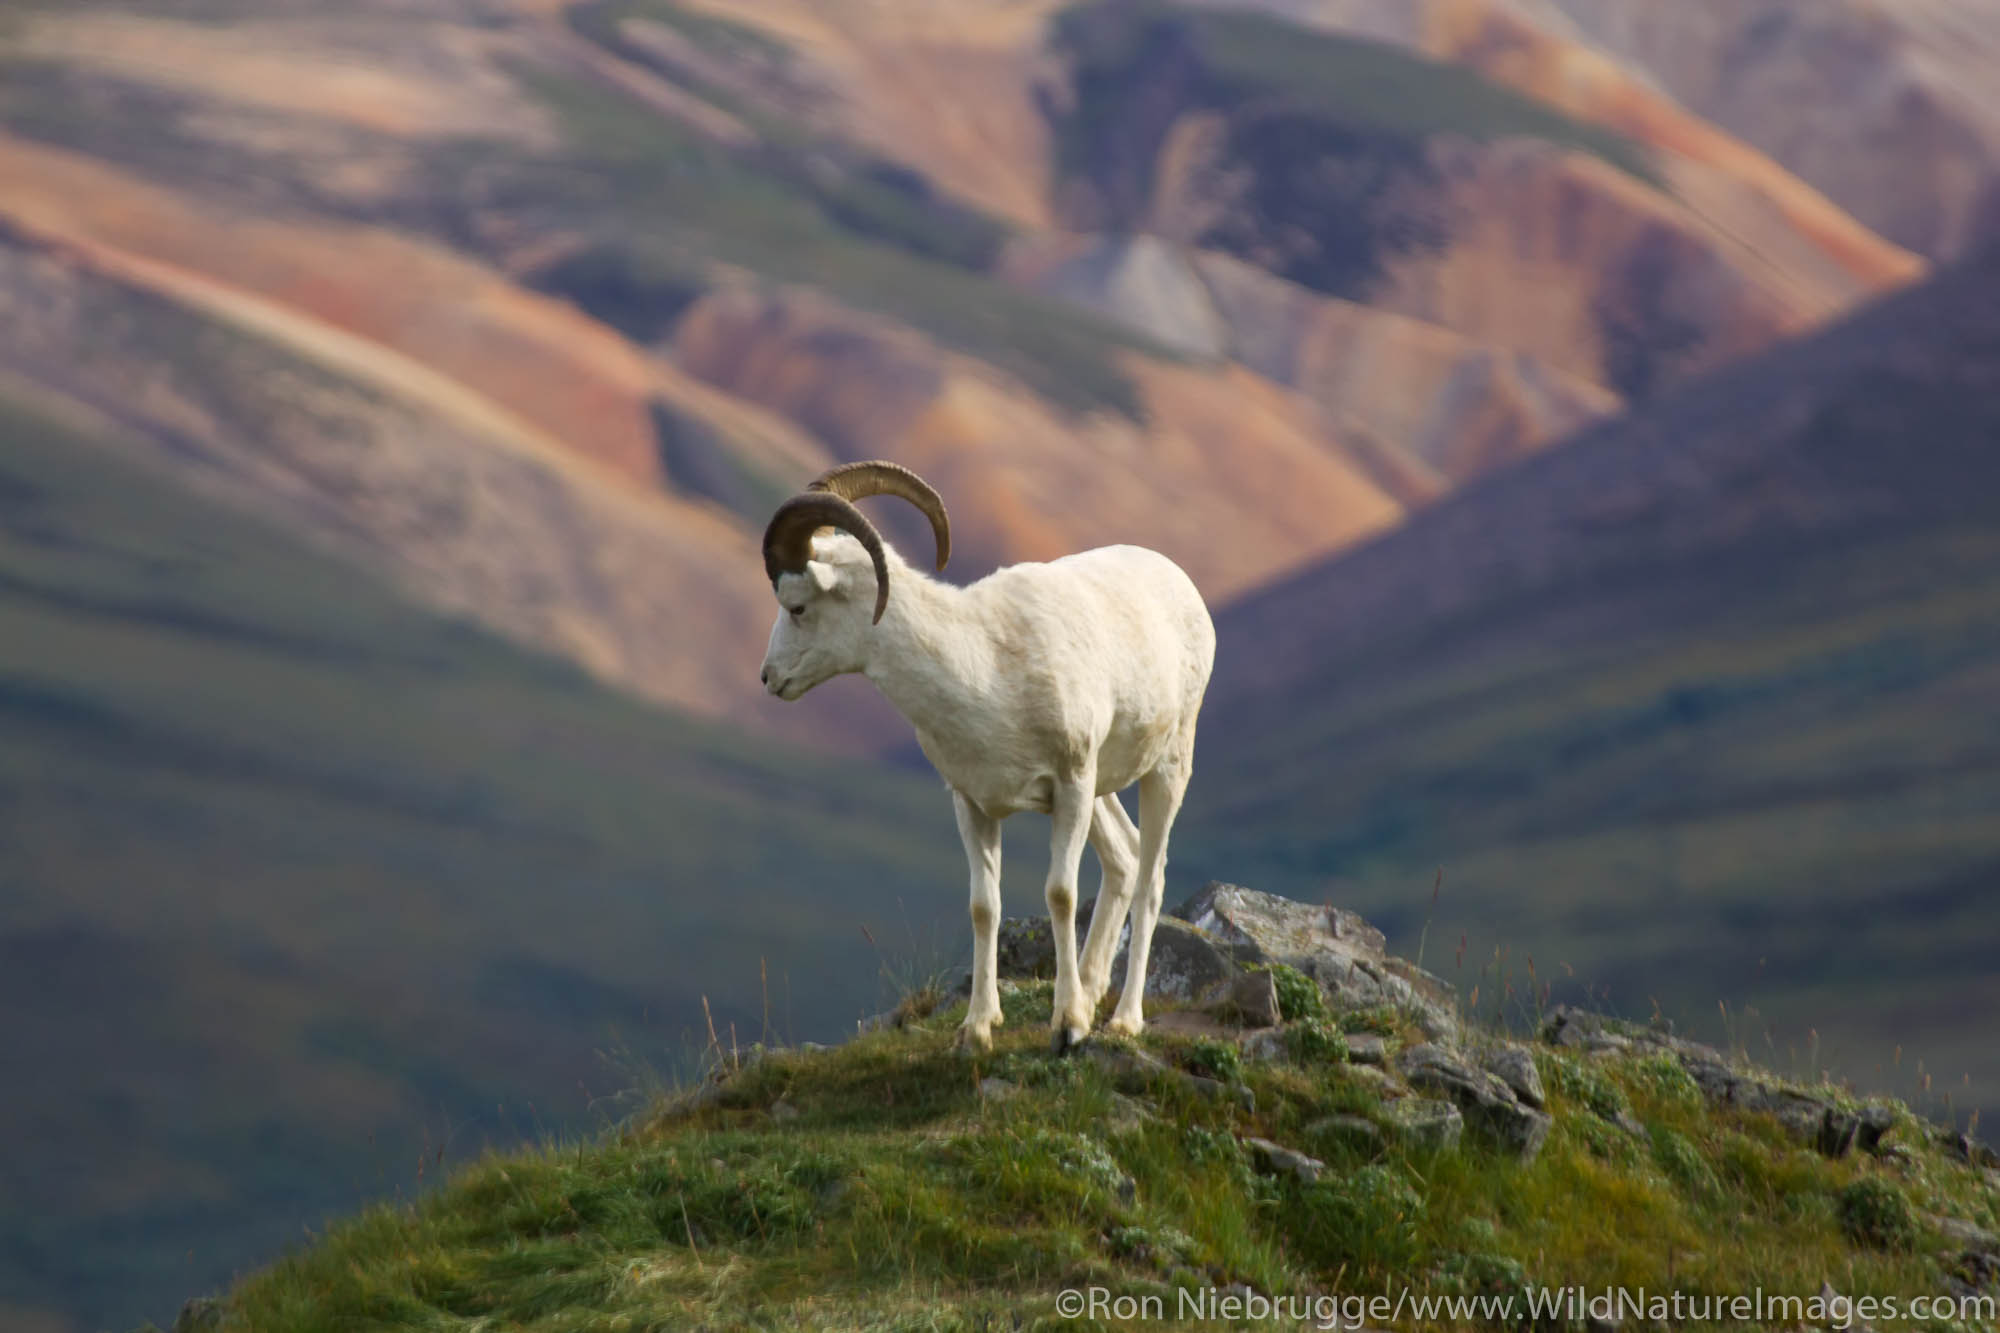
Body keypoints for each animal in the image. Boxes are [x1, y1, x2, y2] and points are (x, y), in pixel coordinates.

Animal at [756, 456, 1208, 1048]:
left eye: (797, 607)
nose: (769, 678)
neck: (984, 670)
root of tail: (1181, 584)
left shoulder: (1070, 786)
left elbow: (1060, 894)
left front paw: (1068, 1026)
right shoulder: (973, 804)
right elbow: (983, 906)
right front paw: (977, 1030)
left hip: (1163, 769)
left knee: (1150, 879)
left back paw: (1122, 1020)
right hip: (1102, 792)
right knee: (1124, 859)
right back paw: (1090, 992)